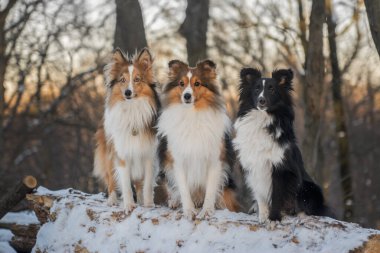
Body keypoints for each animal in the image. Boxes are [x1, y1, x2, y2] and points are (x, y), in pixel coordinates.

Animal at [95, 47, 161, 211]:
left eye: (137, 79)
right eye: (122, 80)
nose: (127, 93)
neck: (132, 109)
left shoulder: (148, 155)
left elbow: (147, 184)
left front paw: (148, 204)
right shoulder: (122, 154)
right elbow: (125, 183)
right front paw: (129, 205)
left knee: (138, 183)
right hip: (109, 153)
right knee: (111, 180)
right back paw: (112, 200)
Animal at [157, 59, 240, 219]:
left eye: (197, 83)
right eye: (181, 83)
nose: (187, 96)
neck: (192, 114)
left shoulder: (215, 159)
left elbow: (211, 190)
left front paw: (206, 211)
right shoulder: (177, 160)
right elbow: (183, 188)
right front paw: (189, 210)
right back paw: (174, 201)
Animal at [233, 68, 328, 222]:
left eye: (271, 89)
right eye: (256, 89)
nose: (261, 101)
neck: (263, 119)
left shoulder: (280, 168)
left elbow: (277, 195)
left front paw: (274, 218)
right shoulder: (254, 166)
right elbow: (260, 196)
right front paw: (263, 217)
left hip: (310, 188)